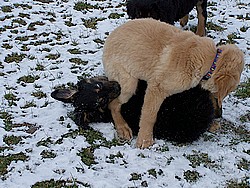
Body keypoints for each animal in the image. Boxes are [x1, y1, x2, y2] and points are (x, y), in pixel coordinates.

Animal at [102, 18, 244, 148]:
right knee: (113, 104)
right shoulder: (156, 87)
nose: (220, 115)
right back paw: (123, 128)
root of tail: (108, 41)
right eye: (223, 94)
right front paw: (145, 140)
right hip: (129, 83)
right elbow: (149, 116)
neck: (210, 60)